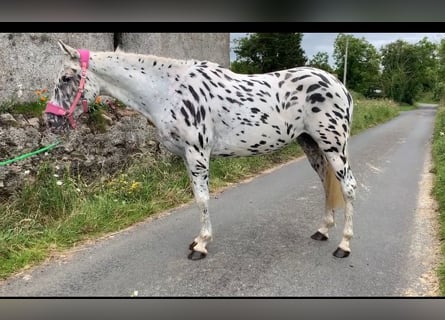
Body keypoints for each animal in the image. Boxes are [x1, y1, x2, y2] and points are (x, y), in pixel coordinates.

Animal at [46, 40, 358, 260]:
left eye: (66, 78)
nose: (50, 119)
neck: (168, 90)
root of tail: (340, 85)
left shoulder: (197, 153)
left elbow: (203, 199)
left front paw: (201, 245)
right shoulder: (187, 156)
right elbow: (198, 198)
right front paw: (199, 240)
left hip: (334, 145)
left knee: (348, 187)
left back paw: (343, 245)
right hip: (311, 144)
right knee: (326, 184)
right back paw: (322, 231)